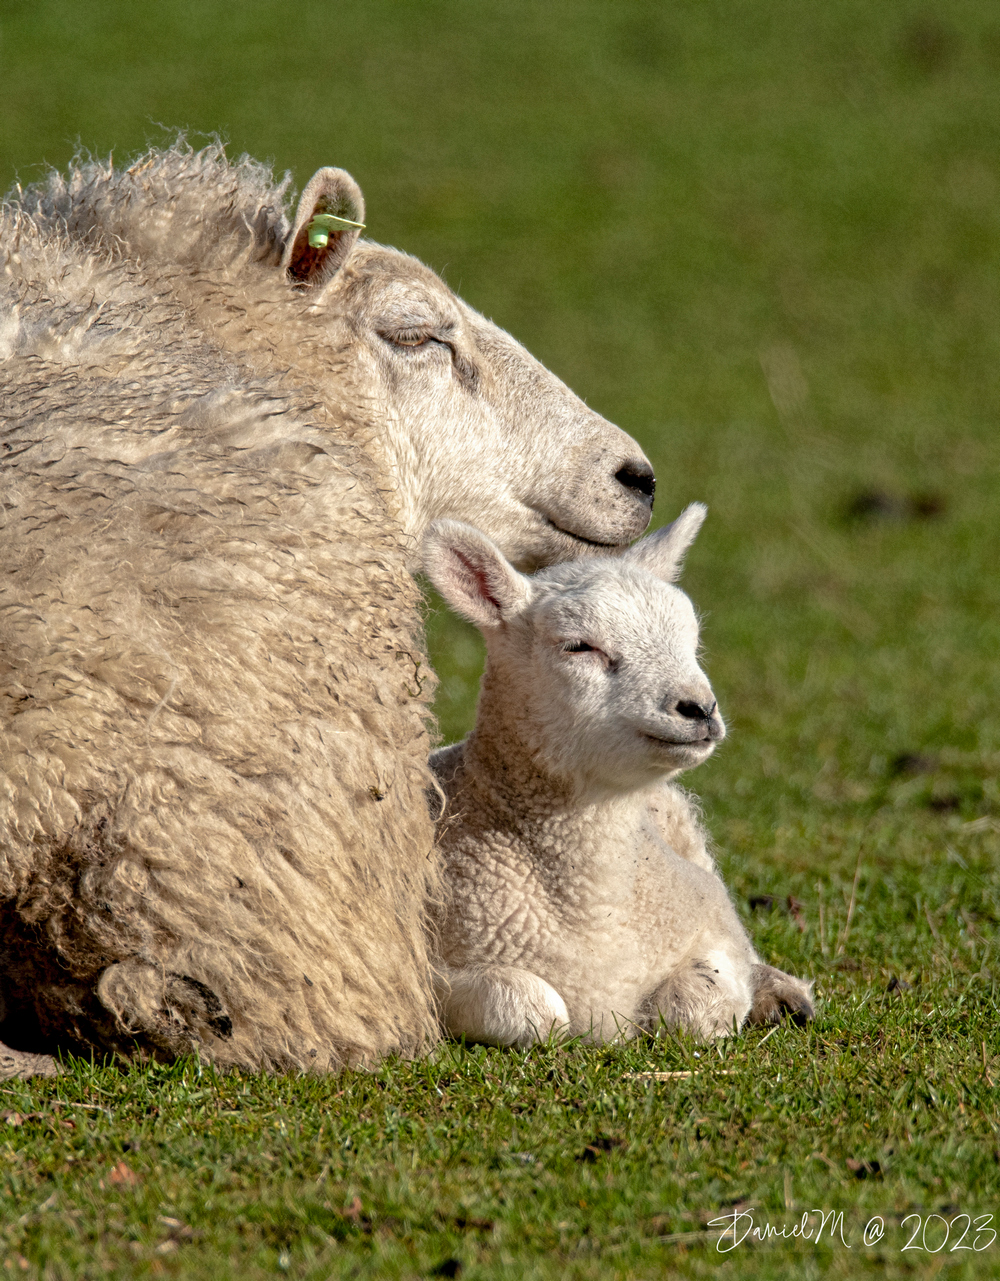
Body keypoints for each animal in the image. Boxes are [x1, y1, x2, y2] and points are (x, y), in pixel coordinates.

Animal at [425, 504, 814, 1045]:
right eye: (579, 646)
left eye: (691, 642)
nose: (700, 708)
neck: (596, 909)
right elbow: (533, 1007)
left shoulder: (711, 923)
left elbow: (696, 1006)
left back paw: (781, 995)